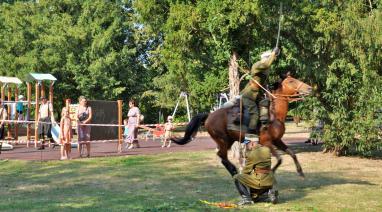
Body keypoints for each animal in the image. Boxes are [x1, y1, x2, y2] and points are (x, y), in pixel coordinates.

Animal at [172, 75, 312, 178]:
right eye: (291, 81)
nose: (310, 88)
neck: (274, 115)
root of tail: (209, 116)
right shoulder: (267, 142)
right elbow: (279, 159)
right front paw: (271, 172)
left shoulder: (277, 140)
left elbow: (292, 153)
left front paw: (300, 171)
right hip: (222, 140)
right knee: (222, 156)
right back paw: (234, 170)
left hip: (228, 140)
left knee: (221, 156)